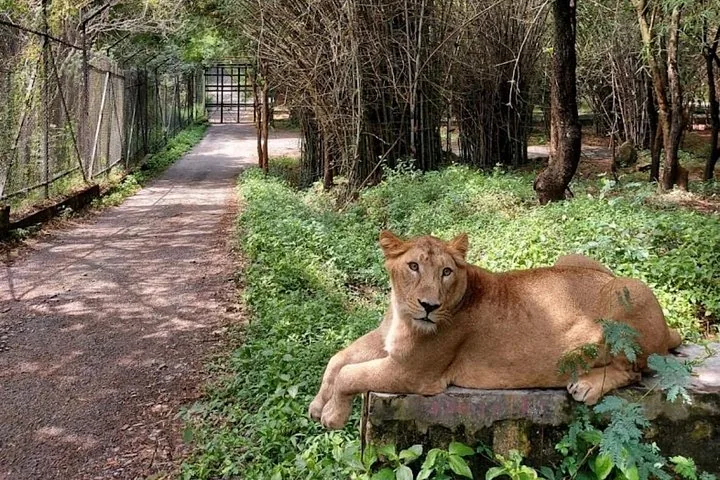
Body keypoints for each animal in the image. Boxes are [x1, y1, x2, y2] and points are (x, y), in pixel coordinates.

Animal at [309, 231, 682, 430]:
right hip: (572, 257)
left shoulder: (415, 373)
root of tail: (668, 330)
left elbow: (351, 375)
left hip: (630, 291)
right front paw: (316, 405)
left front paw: (332, 416)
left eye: (446, 271)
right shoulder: (384, 340)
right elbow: (337, 359)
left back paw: (587, 385)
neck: (402, 313)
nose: (429, 305)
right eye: (413, 266)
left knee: (635, 369)